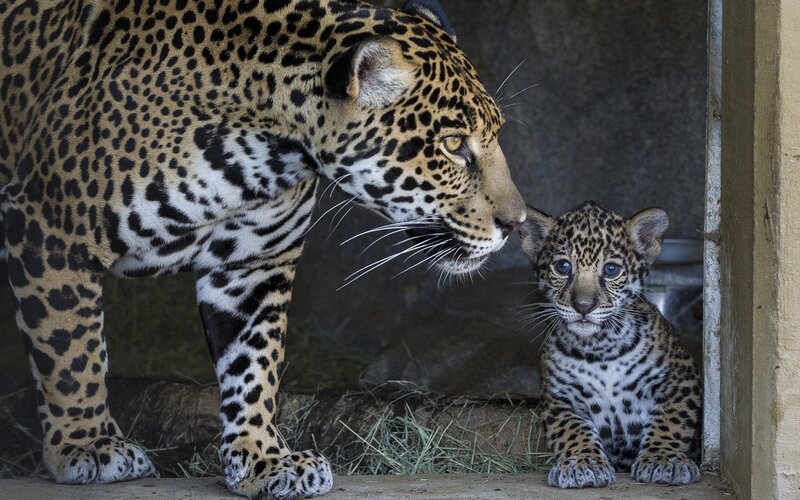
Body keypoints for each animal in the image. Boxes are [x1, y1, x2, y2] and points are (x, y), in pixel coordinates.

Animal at [0, 0, 527, 497]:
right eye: (454, 145)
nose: (516, 222)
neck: (263, 149)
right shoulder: (49, 230)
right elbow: (72, 352)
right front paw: (88, 445)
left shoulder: (252, 264)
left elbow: (254, 364)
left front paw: (263, 459)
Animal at [519, 201, 701, 489]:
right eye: (563, 267)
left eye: (611, 270)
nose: (583, 306)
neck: (600, 348)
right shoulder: (559, 397)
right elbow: (571, 429)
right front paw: (582, 463)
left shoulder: (682, 381)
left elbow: (671, 421)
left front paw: (664, 459)